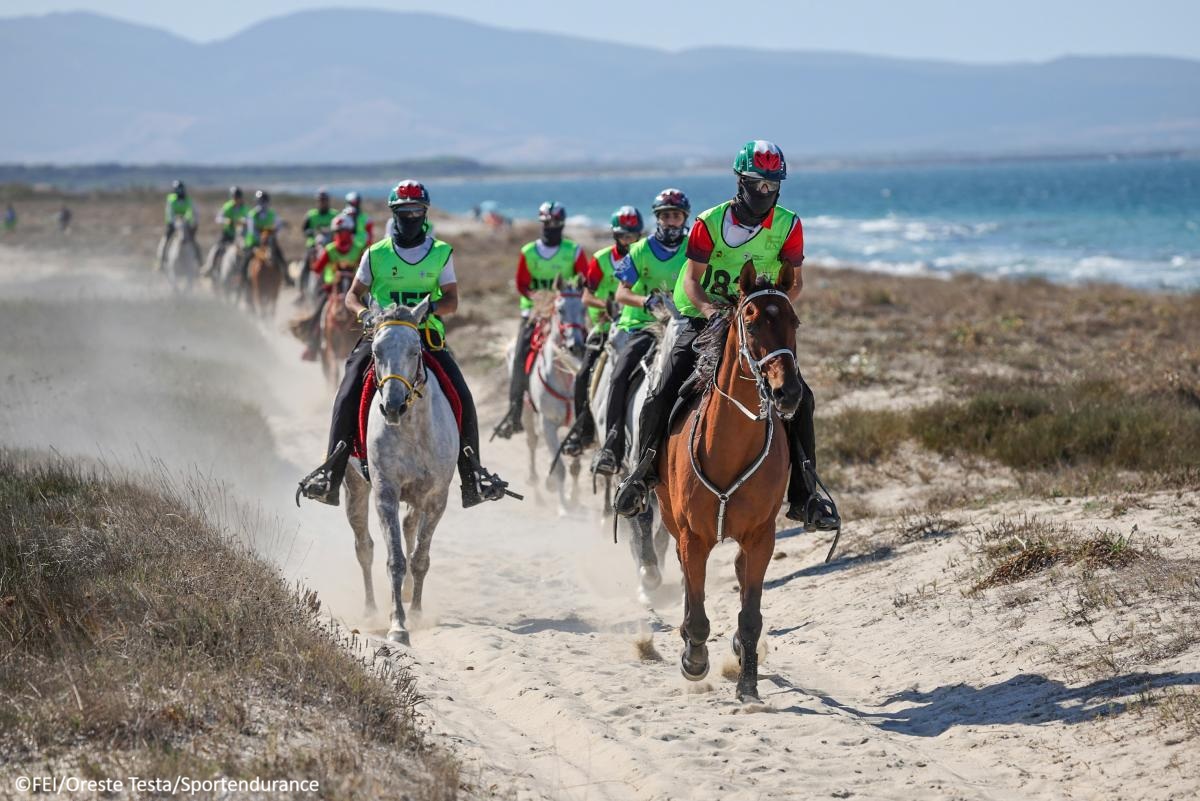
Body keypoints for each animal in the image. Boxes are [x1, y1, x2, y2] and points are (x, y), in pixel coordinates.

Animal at [342, 300, 458, 645]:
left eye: (415, 350)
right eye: (376, 351)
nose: (393, 406)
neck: (412, 430)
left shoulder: (436, 499)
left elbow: (420, 558)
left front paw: (416, 613)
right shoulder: (386, 494)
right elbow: (395, 559)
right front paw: (398, 626)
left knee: (410, 528)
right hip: (355, 488)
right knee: (364, 547)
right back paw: (370, 610)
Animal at [513, 277, 587, 515]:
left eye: (584, 308)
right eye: (560, 310)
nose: (576, 346)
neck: (564, 377)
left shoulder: (578, 425)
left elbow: (575, 467)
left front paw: (573, 499)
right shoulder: (548, 424)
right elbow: (560, 469)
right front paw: (563, 508)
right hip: (528, 414)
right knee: (532, 443)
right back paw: (537, 489)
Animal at [656, 263, 803, 703]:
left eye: (794, 322)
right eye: (750, 323)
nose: (787, 393)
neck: (730, 446)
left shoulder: (761, 536)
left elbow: (751, 615)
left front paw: (748, 686)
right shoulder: (693, 536)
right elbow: (698, 606)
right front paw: (694, 659)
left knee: (738, 572)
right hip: (670, 518)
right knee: (687, 576)